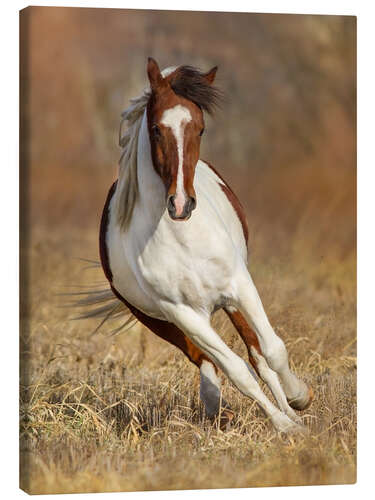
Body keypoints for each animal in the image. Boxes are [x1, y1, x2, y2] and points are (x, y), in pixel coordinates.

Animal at [83, 57, 314, 434]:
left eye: (201, 129)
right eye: (157, 129)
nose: (180, 204)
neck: (182, 238)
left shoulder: (240, 284)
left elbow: (273, 350)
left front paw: (298, 401)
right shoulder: (182, 313)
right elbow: (238, 372)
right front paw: (285, 425)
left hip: (231, 301)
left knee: (258, 355)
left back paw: (288, 405)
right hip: (162, 321)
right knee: (210, 361)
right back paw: (218, 405)